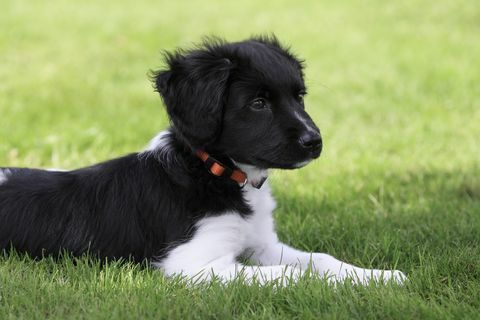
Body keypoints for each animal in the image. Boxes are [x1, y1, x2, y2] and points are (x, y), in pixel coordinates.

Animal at [0, 36, 404, 284]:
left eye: (299, 96)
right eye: (258, 103)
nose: (315, 141)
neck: (218, 174)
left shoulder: (261, 243)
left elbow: (320, 259)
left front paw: (379, 277)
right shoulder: (193, 264)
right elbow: (288, 275)